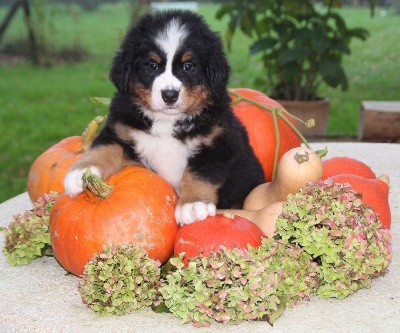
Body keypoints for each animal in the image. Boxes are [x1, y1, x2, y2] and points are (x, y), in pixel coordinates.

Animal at [64, 10, 266, 224]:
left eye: (188, 66)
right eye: (152, 65)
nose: (169, 95)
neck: (167, 122)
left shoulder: (220, 143)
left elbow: (199, 173)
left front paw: (193, 204)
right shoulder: (119, 129)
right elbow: (103, 149)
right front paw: (81, 172)